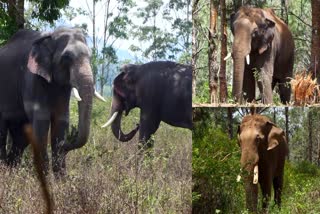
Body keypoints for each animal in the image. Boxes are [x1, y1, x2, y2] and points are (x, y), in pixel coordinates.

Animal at [0, 27, 104, 177]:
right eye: (66, 57)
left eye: (90, 57)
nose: (69, 140)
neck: (51, 36)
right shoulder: (32, 78)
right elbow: (41, 124)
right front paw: (47, 179)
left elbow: (61, 120)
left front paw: (61, 180)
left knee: (20, 139)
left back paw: (11, 172)